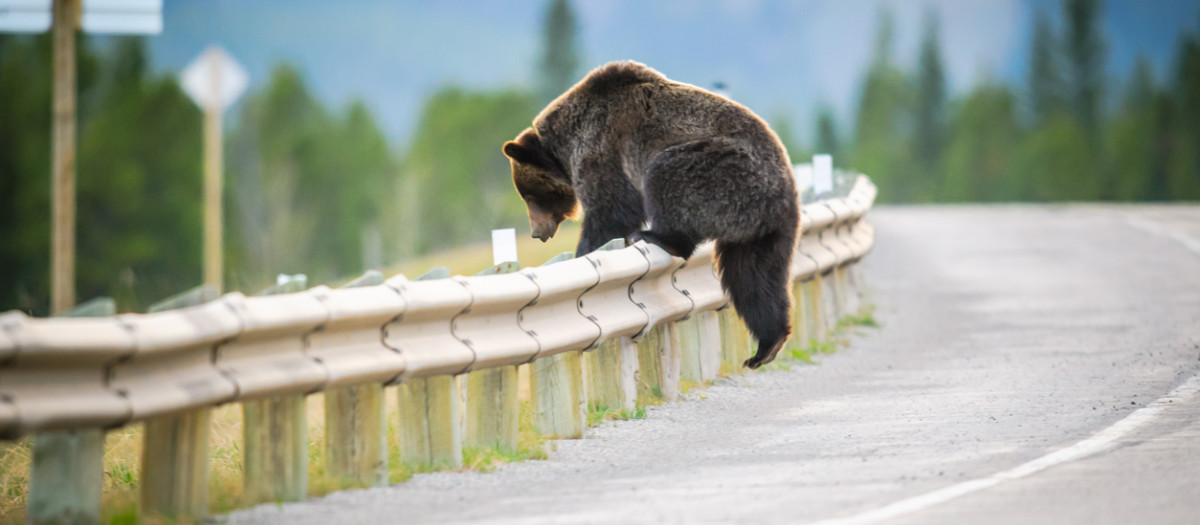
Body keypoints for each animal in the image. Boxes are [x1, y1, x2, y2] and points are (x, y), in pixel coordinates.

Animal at [502, 61, 799, 369]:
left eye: (530, 196)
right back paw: (767, 346)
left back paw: (654, 236)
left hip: (722, 169)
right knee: (754, 275)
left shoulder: (602, 148)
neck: (565, 144)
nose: (537, 232)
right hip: (765, 230)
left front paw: (584, 251)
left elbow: (610, 209)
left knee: (667, 177)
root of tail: (778, 191)